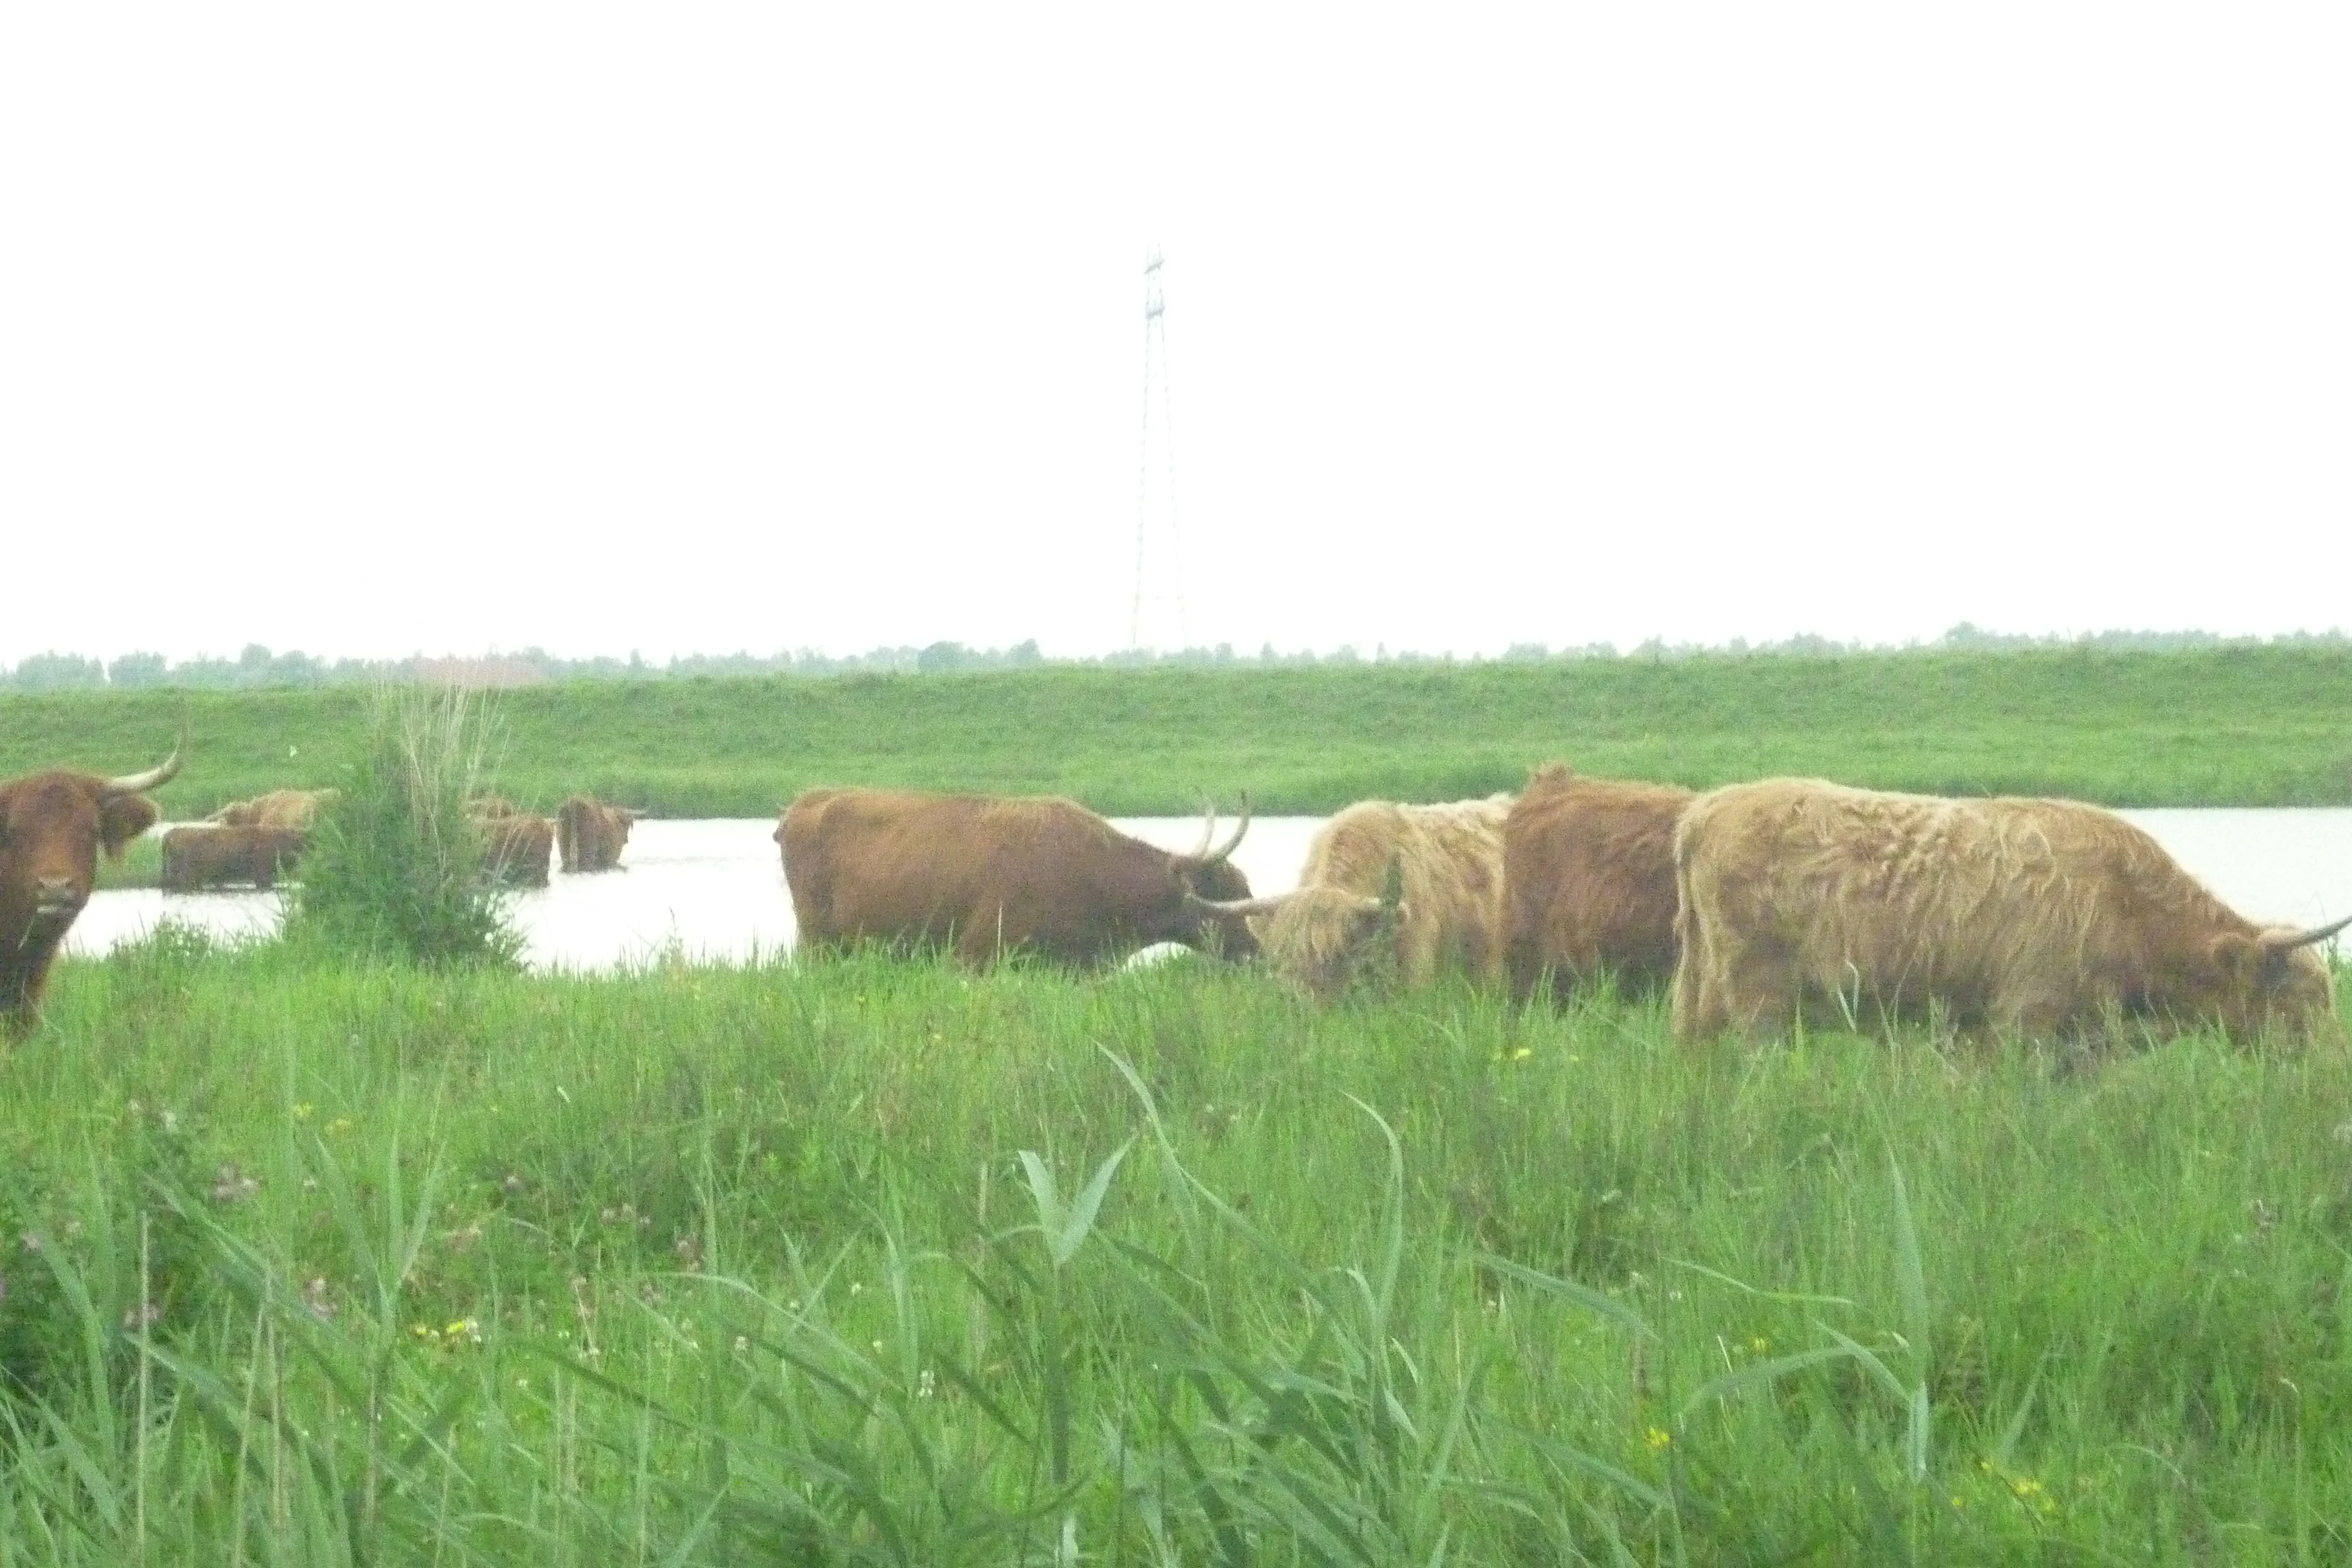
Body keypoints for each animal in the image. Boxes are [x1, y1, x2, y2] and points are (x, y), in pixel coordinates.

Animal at [1670, 777, 2352, 1047]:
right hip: (1759, 993)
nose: (2330, 1067)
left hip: (1700, 986)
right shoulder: (2028, 1015)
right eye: (2301, 1003)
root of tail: (1709, 808)